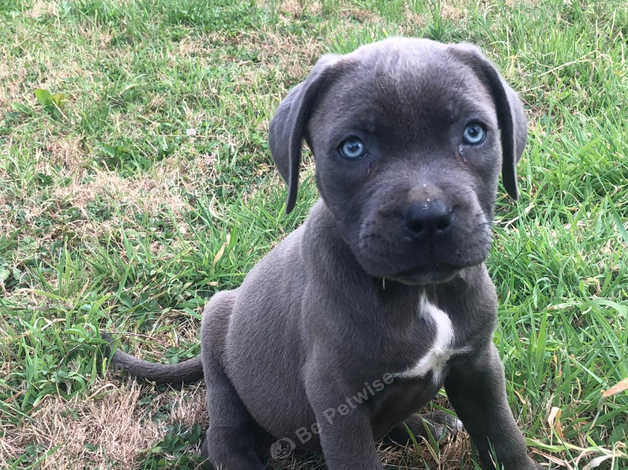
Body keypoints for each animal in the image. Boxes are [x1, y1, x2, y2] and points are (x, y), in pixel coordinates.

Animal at [108, 38, 540, 468]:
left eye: (474, 132)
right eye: (353, 148)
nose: (429, 216)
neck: (418, 294)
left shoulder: (478, 365)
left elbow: (503, 437)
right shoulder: (339, 402)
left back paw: (427, 425)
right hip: (219, 343)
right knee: (224, 437)